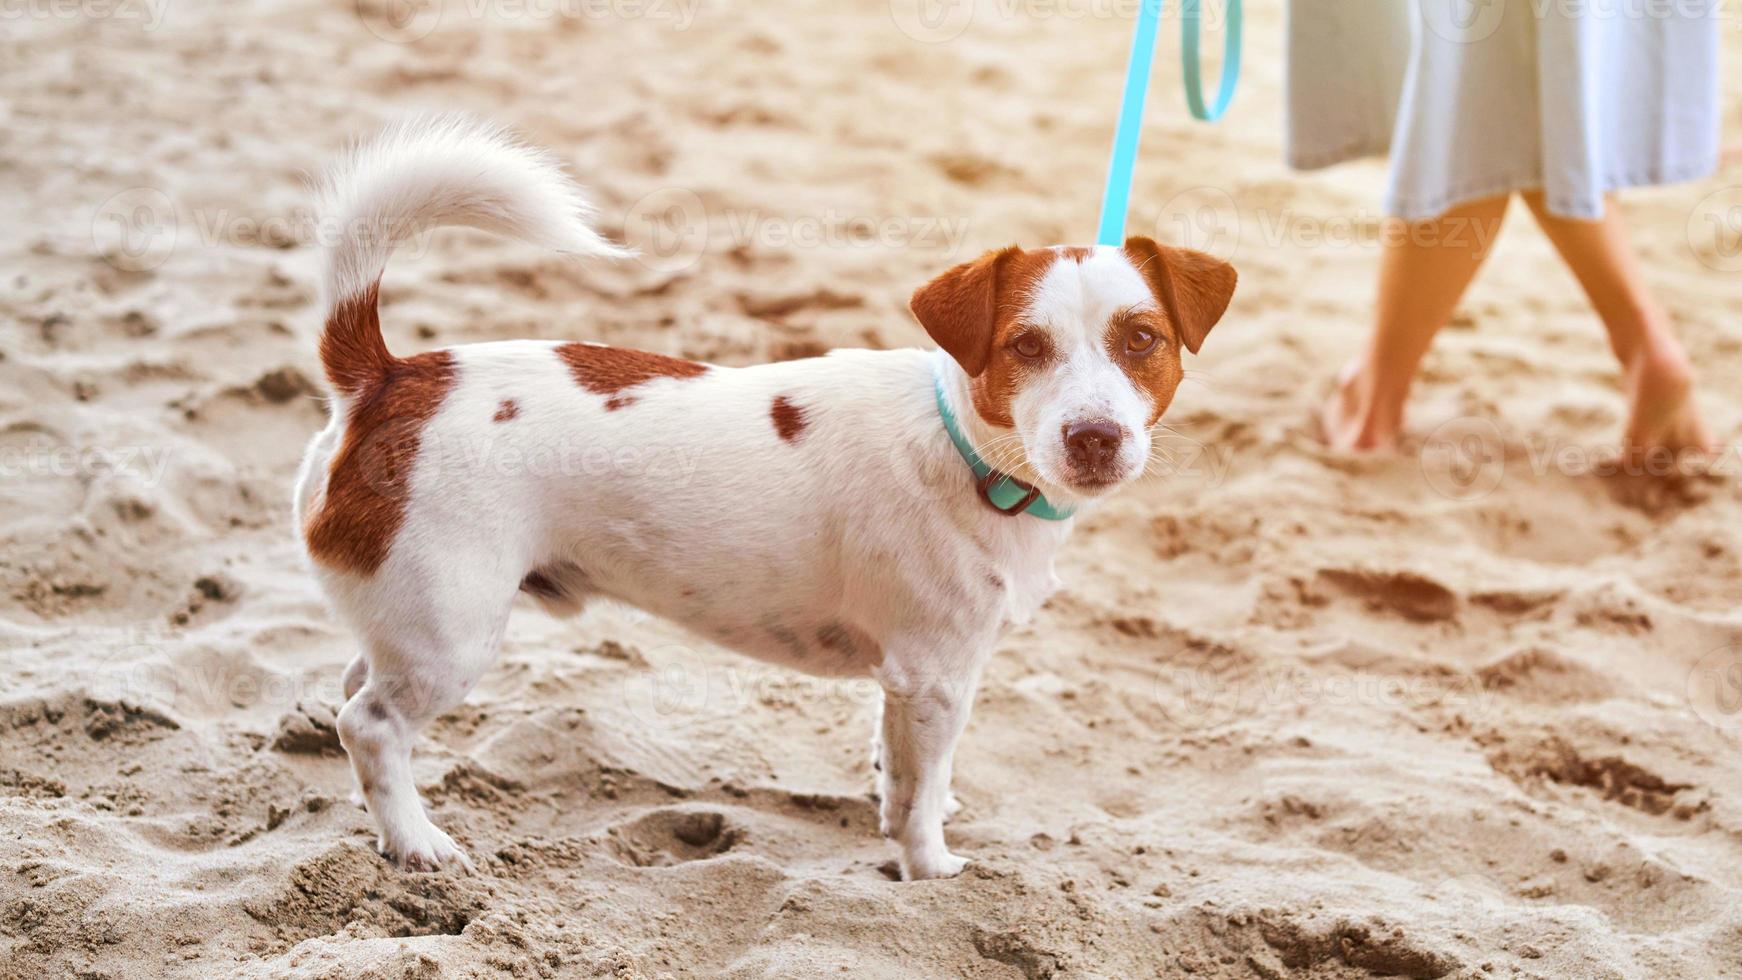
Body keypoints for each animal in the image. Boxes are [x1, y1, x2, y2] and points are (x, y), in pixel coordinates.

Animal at [292, 119, 1240, 884]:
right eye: (1026, 347)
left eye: (1142, 339)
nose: (1095, 437)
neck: (963, 447)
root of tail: (387, 378)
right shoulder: (935, 675)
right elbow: (921, 793)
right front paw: (929, 869)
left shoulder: (909, 686)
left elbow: (903, 773)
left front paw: (912, 813)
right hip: (453, 632)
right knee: (368, 722)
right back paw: (418, 843)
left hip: (409, 618)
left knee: (352, 692)